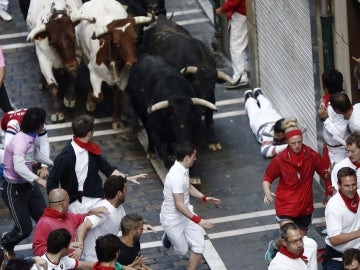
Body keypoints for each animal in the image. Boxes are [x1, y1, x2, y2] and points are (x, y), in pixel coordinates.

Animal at [141, 14, 233, 152]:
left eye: (212, 87)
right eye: (195, 85)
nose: (201, 110)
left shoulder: (211, 99)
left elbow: (209, 118)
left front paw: (213, 141)